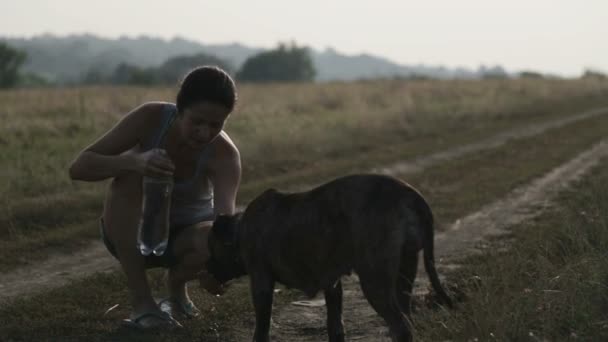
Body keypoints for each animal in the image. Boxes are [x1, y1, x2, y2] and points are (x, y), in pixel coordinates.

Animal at [209, 175, 452, 340]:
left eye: (211, 250)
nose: (209, 271)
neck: (239, 230)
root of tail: (408, 193)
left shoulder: (261, 283)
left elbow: (261, 327)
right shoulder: (332, 286)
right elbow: (335, 326)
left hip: (374, 281)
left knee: (400, 326)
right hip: (405, 270)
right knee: (405, 317)